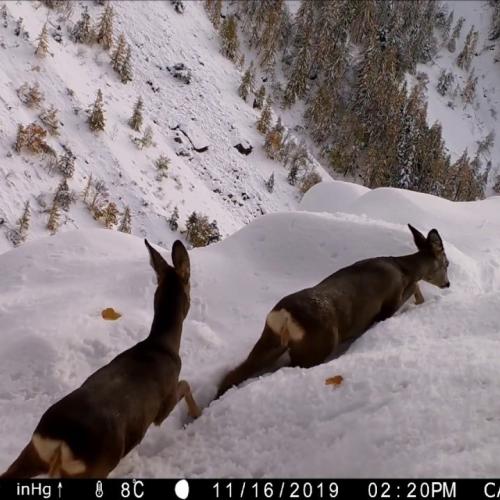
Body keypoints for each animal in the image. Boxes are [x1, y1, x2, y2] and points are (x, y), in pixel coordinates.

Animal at [2, 240, 201, 478]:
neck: (162, 345)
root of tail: (61, 445)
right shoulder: (163, 406)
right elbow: (186, 384)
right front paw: (196, 414)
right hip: (97, 467)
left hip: (33, 452)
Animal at [217, 225, 452, 396]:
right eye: (447, 263)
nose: (447, 284)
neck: (406, 272)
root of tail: (285, 316)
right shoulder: (389, 304)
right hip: (317, 346)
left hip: (270, 338)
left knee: (233, 374)